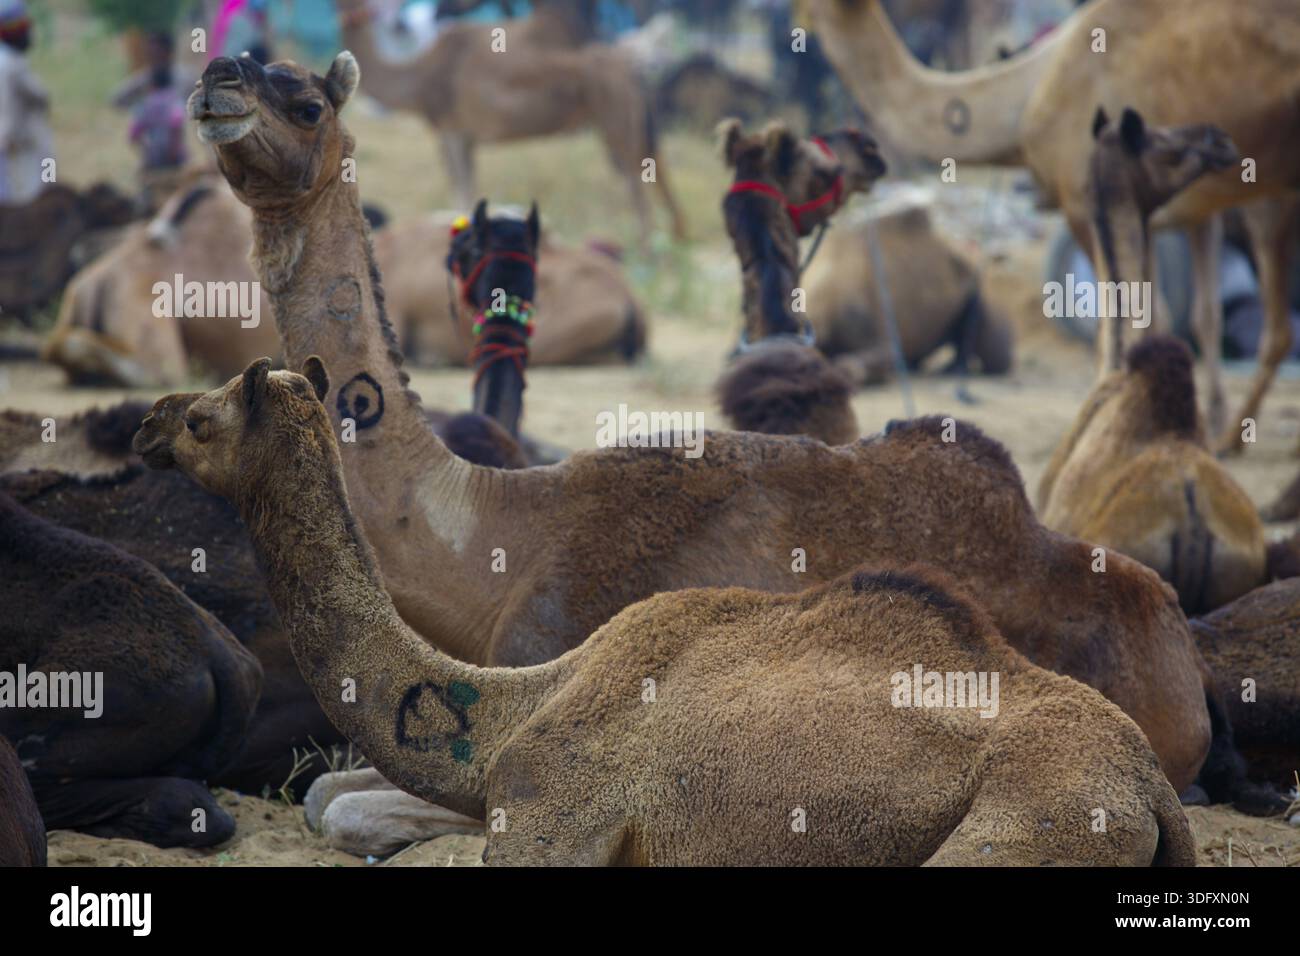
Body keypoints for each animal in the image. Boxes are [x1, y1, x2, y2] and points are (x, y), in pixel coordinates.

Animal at [148, 356, 1195, 865]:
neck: (518, 707)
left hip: (1032, 822)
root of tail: (1151, 790)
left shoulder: (549, 822)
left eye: (204, 417)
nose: (150, 421)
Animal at [335, 0, 686, 240]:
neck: (417, 78)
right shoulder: (464, 137)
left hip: (616, 120)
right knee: (656, 174)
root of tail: (632, 70)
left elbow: (461, 192)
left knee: (639, 190)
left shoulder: (453, 130)